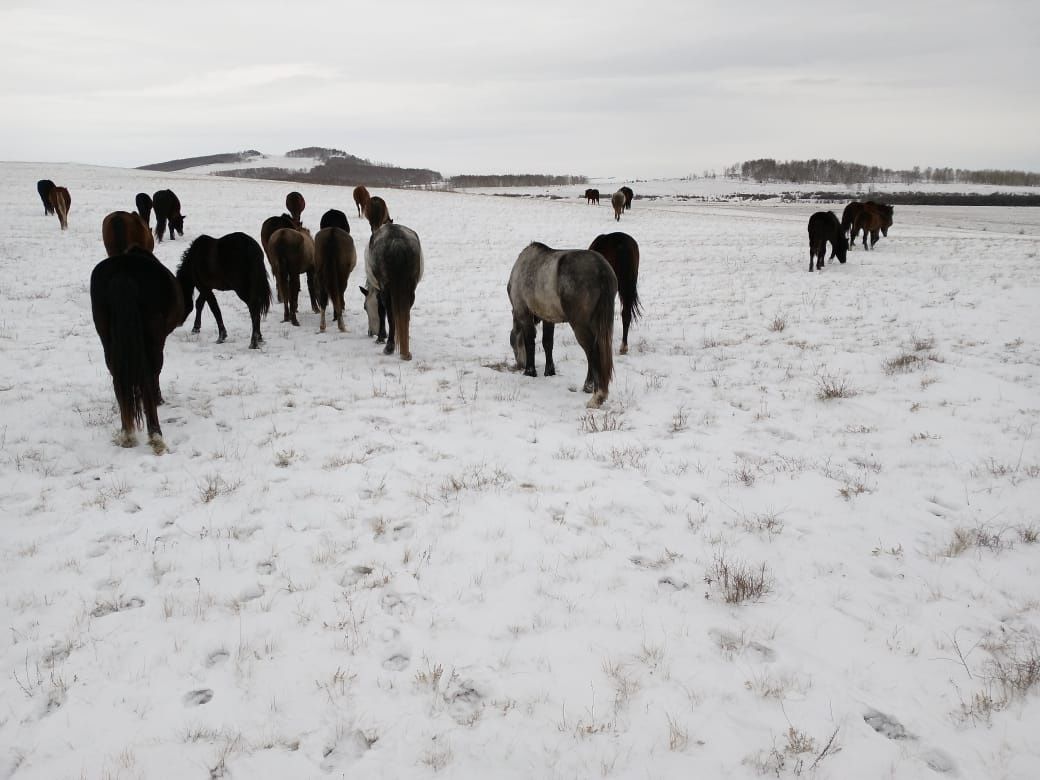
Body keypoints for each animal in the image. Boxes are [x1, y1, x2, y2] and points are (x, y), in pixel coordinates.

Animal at [90, 247, 190, 455]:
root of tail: (124, 272)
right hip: (154, 342)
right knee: (149, 378)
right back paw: (156, 436)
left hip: (108, 341)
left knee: (118, 381)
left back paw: (127, 433)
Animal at [366, 222, 422, 359]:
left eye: (365, 307)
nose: (370, 332)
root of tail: (397, 240)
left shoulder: (380, 291)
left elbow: (382, 312)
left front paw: (381, 337)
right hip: (410, 289)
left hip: (387, 291)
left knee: (391, 315)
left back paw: (389, 346)